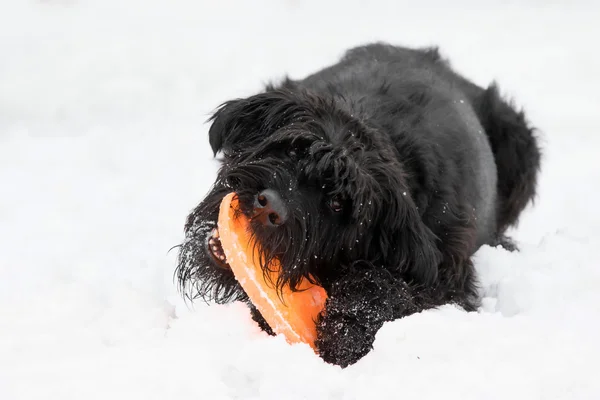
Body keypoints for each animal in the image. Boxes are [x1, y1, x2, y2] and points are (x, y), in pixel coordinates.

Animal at [176, 42, 540, 368]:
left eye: (338, 203)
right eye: (293, 150)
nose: (270, 207)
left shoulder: (447, 274)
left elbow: (384, 285)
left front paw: (345, 328)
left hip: (520, 141)